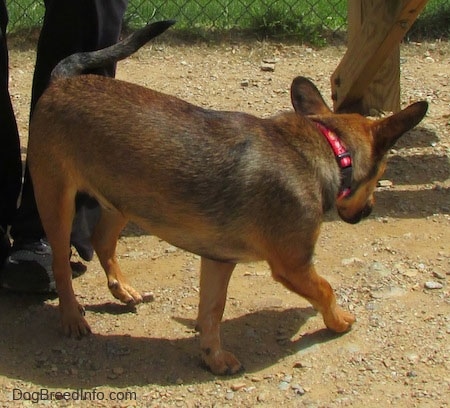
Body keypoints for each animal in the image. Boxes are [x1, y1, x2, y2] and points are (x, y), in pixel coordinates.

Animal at [26, 20, 428, 374]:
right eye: (382, 173)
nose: (370, 210)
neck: (328, 147)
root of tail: (62, 82)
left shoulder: (218, 260)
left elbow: (211, 311)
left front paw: (213, 356)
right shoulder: (294, 265)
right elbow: (326, 289)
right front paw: (339, 320)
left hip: (124, 199)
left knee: (102, 241)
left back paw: (122, 288)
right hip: (56, 201)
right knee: (62, 263)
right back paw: (71, 316)